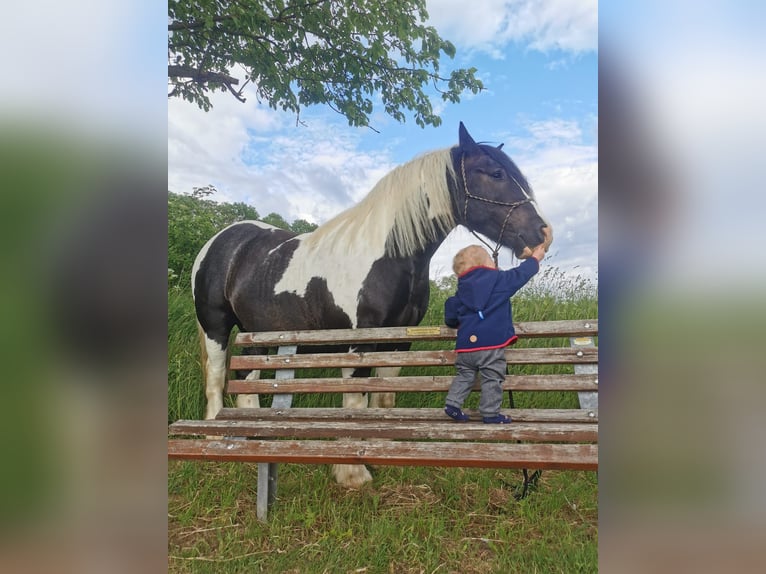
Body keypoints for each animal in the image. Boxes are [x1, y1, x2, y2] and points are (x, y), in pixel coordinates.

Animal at [191, 124, 552, 488]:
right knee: (217, 377)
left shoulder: (398, 340)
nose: (542, 234)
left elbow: (383, 395)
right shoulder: (359, 341)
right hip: (216, 327)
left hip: (258, 333)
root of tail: (221, 239)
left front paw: (383, 447)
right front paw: (352, 472)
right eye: (496, 174)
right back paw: (215, 436)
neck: (387, 257)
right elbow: (356, 398)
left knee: (246, 376)